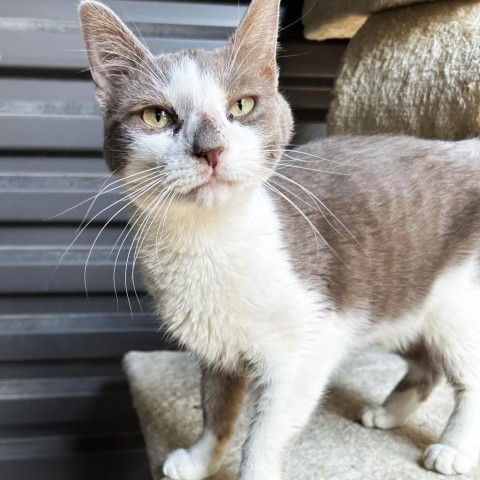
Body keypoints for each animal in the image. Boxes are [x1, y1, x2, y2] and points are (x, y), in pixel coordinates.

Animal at [79, 1, 480, 478]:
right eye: (157, 116)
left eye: (242, 105)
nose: (211, 148)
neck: (209, 243)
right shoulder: (216, 347)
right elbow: (215, 406)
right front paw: (200, 458)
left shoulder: (307, 344)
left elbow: (265, 435)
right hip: (406, 305)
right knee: (429, 364)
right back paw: (388, 413)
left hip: (455, 304)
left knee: (469, 372)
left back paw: (453, 448)